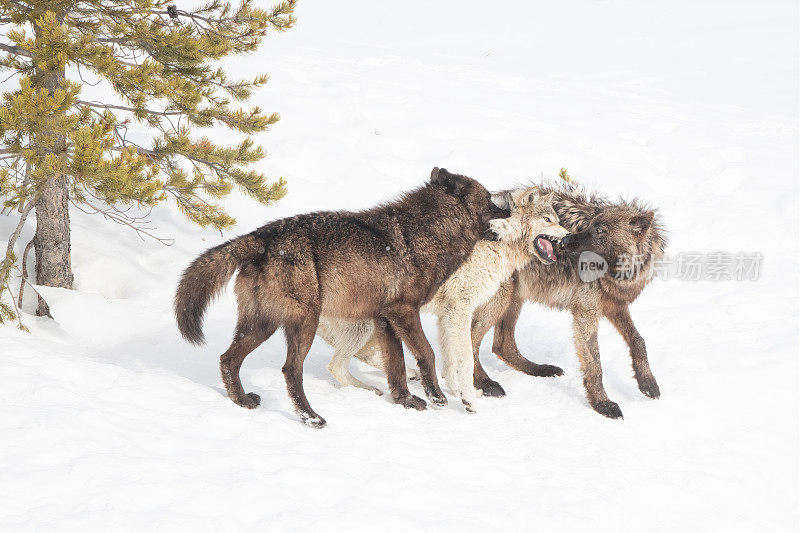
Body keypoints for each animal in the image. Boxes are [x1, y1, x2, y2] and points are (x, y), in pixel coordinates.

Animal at [176, 168, 512, 426]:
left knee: (227, 359)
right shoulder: (405, 312)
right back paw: (311, 418)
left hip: (263, 325)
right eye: (489, 199)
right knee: (290, 370)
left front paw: (406, 401)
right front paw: (438, 397)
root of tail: (259, 236)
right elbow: (426, 354)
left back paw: (242, 401)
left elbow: (397, 366)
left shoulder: (384, 319)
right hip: (303, 324)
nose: (510, 211)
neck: (426, 235)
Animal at [318, 187, 568, 412]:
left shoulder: (447, 313)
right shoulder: (460, 308)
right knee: (335, 365)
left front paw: (457, 391)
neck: (497, 241)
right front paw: (468, 400)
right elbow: (465, 357)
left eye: (557, 220)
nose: (569, 237)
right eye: (547, 220)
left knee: (353, 358)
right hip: (365, 324)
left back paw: (405, 377)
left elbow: (450, 359)